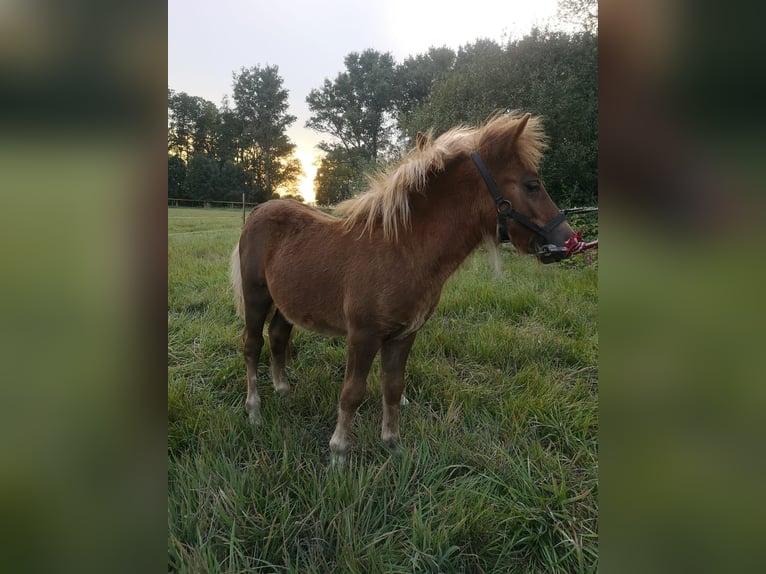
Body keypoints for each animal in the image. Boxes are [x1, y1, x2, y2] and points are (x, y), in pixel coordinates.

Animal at [232, 111, 576, 464]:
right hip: (256, 296)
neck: (402, 249)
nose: (568, 240)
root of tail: (259, 210)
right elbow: (352, 393)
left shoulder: (404, 334)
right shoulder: (364, 335)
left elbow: (393, 387)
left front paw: (393, 445)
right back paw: (254, 411)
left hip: (288, 302)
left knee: (278, 336)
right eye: (532, 185)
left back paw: (284, 391)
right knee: (252, 344)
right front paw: (338, 454)